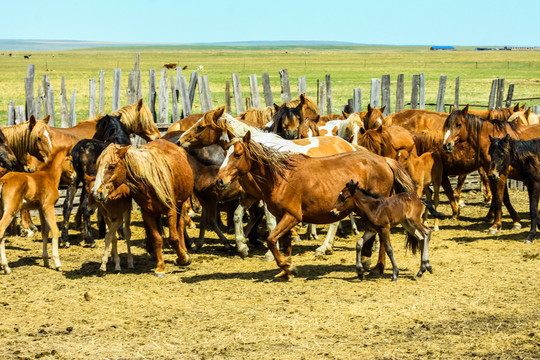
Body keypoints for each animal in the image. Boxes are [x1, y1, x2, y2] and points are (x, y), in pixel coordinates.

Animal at [0, 145, 77, 274]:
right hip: (11, 211)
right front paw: (57, 263)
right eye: (70, 160)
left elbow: (45, 232)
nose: (75, 176)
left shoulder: (41, 209)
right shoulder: (48, 207)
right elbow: (54, 230)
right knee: (1, 230)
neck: (49, 176)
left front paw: (46, 260)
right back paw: (6, 267)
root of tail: (3, 180)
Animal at [61, 114, 132, 248]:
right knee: (85, 207)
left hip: (74, 181)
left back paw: (65, 238)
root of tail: (78, 151)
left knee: (67, 206)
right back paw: (90, 239)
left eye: (98, 129)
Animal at [93, 139, 194, 276]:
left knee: (180, 226)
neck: (148, 182)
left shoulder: (171, 210)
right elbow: (157, 238)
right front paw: (160, 267)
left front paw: (183, 259)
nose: (97, 193)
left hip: (181, 204)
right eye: (97, 166)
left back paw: (184, 251)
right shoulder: (147, 213)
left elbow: (173, 238)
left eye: (112, 166)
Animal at [213, 133, 416, 282]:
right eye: (225, 153)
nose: (219, 181)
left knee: (380, 237)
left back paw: (375, 265)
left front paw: (287, 266)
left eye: (237, 154)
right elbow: (285, 245)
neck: (280, 177)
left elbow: (271, 240)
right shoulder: (281, 217)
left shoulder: (292, 217)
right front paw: (286, 271)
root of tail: (384, 160)